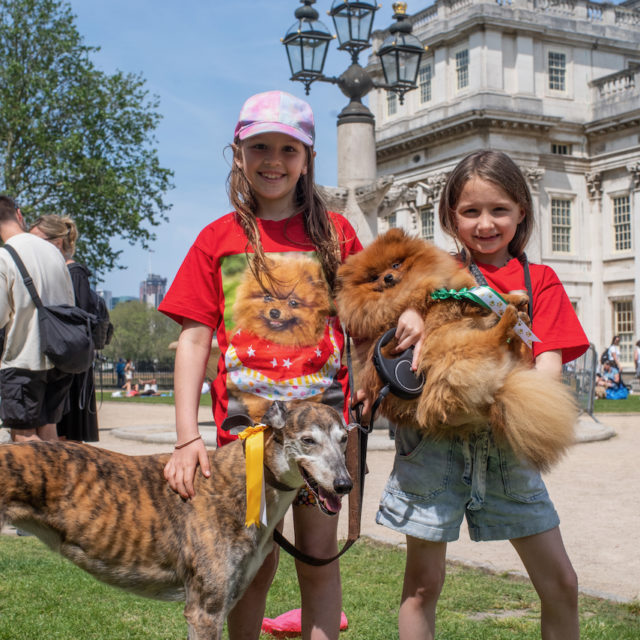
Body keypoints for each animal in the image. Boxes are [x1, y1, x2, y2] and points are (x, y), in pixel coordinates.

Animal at [338, 230, 576, 470]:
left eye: (395, 265)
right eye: (373, 277)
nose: (387, 277)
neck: (413, 285)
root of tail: (497, 392)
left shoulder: (455, 292)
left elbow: (482, 296)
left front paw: (516, 296)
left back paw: (520, 322)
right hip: (455, 345)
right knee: (493, 342)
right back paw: (509, 319)